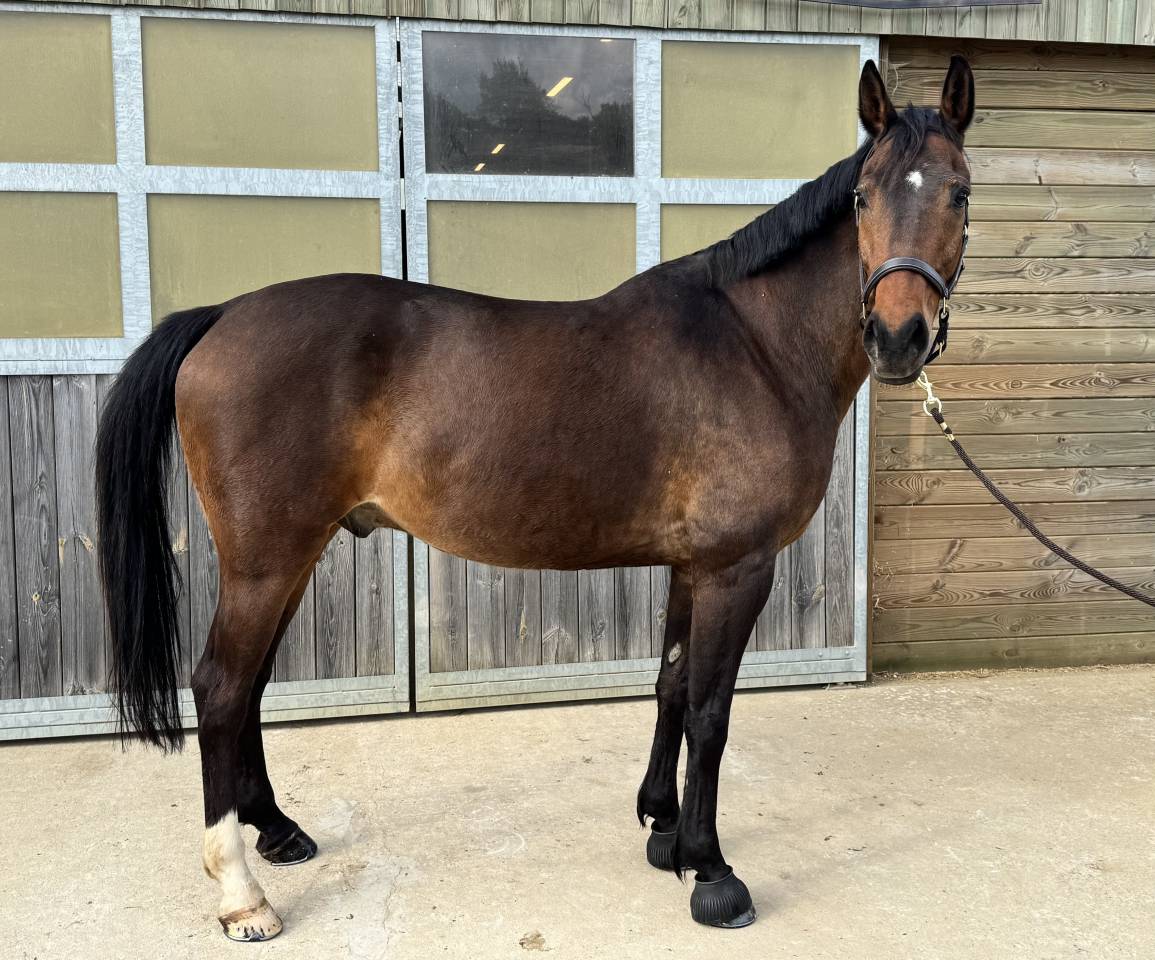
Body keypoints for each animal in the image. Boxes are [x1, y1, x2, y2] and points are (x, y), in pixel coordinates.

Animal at [95, 55, 974, 940]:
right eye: (861, 197)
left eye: (958, 193)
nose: (896, 338)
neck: (752, 344)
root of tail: (222, 317)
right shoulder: (736, 569)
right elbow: (710, 712)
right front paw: (711, 870)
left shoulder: (692, 567)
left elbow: (670, 686)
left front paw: (661, 830)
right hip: (267, 560)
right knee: (220, 687)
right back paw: (242, 894)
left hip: (288, 560)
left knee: (250, 687)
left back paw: (276, 830)